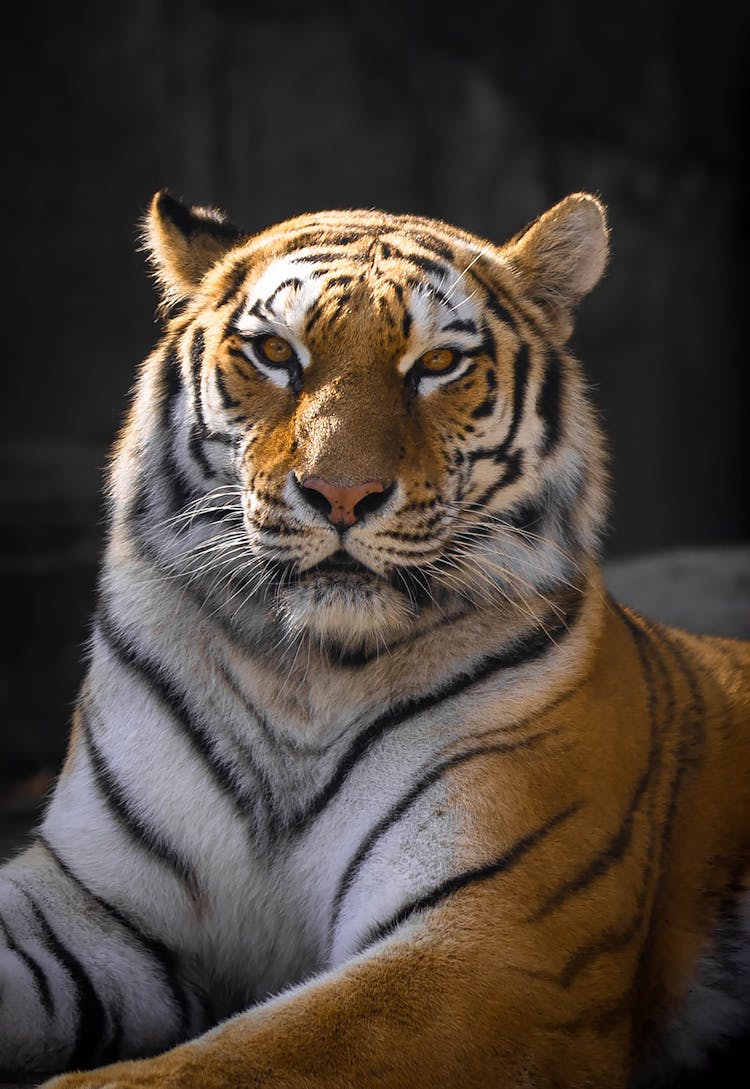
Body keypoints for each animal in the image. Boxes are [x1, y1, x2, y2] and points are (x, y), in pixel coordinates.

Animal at [1, 189, 748, 1089]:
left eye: (437, 364)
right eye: (275, 353)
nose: (340, 493)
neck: (303, 673)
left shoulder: (493, 944)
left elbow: (239, 1058)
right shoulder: (89, 897)